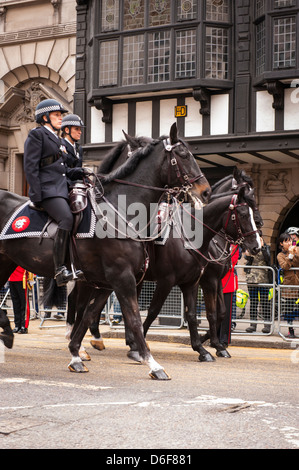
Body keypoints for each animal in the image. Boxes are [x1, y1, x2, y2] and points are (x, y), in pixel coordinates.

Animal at [0, 123, 212, 380]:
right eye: (183, 155)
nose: (206, 192)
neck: (122, 210)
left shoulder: (105, 282)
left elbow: (89, 314)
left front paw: (76, 353)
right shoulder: (122, 277)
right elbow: (133, 318)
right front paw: (152, 363)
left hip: (6, 261)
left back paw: (7, 331)